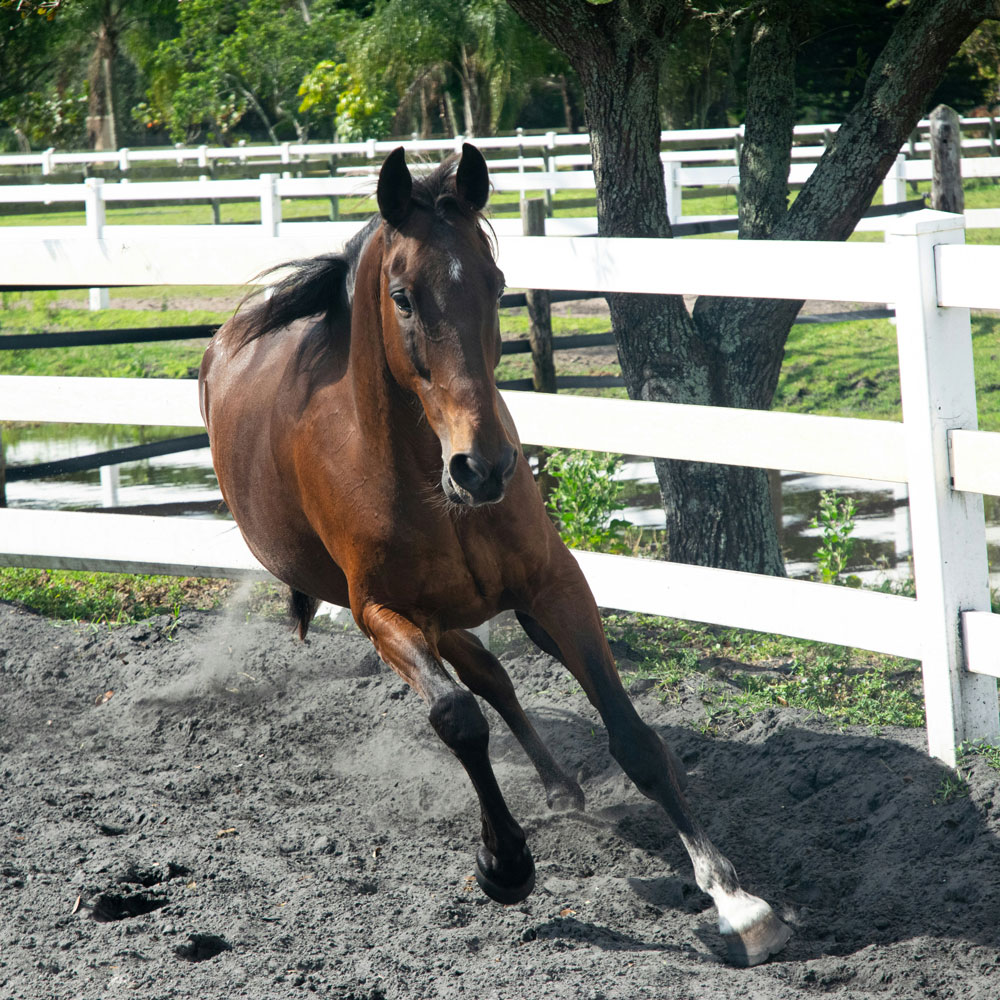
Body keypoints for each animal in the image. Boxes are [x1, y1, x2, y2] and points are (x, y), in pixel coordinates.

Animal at [199, 145, 792, 964]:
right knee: (480, 684)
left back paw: (562, 788)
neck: (427, 477)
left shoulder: (555, 586)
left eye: (497, 283)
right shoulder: (382, 613)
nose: (482, 467)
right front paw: (505, 863)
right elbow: (458, 717)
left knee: (498, 677)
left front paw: (737, 902)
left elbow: (634, 738)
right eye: (403, 297)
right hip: (429, 619)